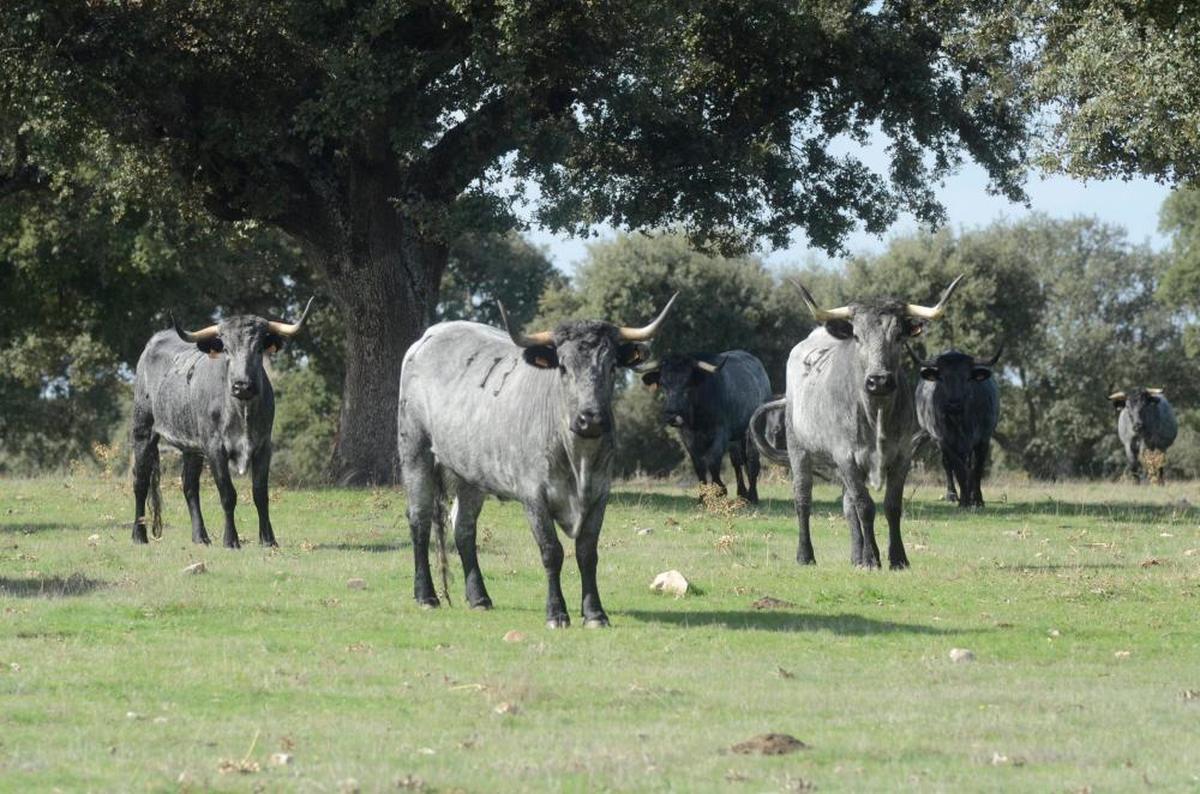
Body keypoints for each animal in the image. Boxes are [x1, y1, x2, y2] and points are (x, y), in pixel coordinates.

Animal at [129, 298, 314, 546]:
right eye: (226, 349)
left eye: (258, 348)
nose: (242, 385)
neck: (242, 410)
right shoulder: (215, 447)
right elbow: (227, 494)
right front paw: (231, 539)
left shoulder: (264, 445)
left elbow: (260, 493)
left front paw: (268, 540)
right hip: (143, 429)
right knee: (140, 481)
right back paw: (138, 535)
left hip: (191, 446)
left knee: (189, 486)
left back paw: (200, 536)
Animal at [400, 295, 676, 633]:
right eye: (564, 368)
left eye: (612, 366)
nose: (591, 418)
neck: (579, 460)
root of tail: (432, 334)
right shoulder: (534, 496)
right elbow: (551, 551)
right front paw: (557, 613)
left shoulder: (600, 495)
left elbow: (587, 553)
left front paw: (595, 613)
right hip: (414, 450)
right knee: (420, 520)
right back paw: (426, 596)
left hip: (471, 472)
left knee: (463, 527)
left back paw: (479, 598)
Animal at [643, 350, 772, 501]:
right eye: (662, 383)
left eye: (688, 383)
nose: (671, 415)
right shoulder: (687, 436)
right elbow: (699, 465)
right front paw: (702, 497)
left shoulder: (720, 433)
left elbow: (713, 461)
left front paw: (720, 491)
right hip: (736, 437)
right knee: (737, 461)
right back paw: (742, 493)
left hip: (753, 430)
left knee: (752, 461)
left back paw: (752, 496)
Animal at [748, 277, 964, 568]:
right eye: (858, 336)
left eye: (899, 336)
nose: (879, 381)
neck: (877, 413)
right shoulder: (846, 456)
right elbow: (865, 506)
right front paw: (872, 558)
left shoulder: (902, 455)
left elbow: (891, 505)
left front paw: (896, 558)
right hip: (799, 449)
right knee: (803, 499)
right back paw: (806, 555)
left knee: (847, 506)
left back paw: (855, 555)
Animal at [916, 347, 1003, 510]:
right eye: (942, 378)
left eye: (968, 378)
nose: (954, 404)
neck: (961, 421)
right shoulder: (944, 441)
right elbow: (958, 469)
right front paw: (963, 501)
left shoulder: (984, 439)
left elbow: (977, 469)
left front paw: (977, 500)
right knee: (947, 465)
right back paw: (952, 494)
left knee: (969, 465)